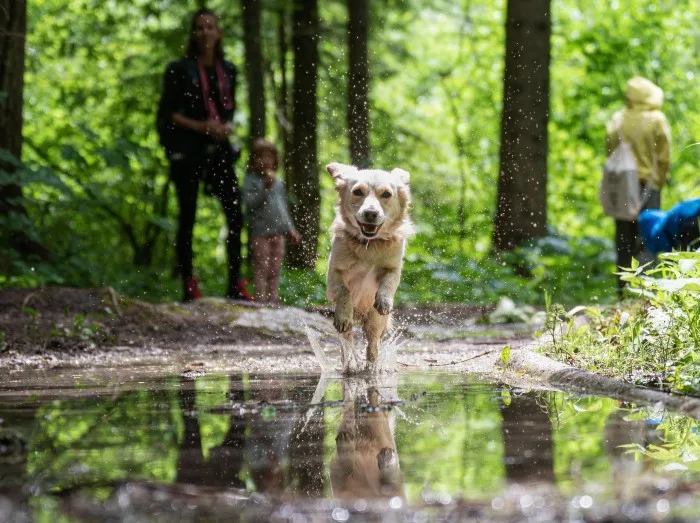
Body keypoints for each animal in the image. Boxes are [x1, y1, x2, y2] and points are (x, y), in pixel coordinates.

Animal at [326, 163, 412, 372]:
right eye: (358, 192)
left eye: (386, 194)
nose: (371, 213)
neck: (369, 244)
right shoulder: (333, 273)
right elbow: (344, 291)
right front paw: (344, 312)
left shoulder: (393, 268)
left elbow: (388, 283)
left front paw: (384, 300)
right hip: (348, 328)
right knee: (347, 341)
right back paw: (350, 364)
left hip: (375, 322)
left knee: (372, 346)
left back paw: (371, 368)